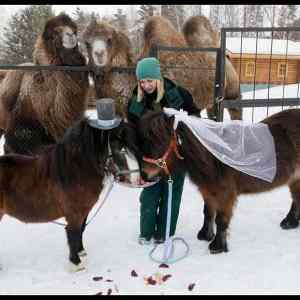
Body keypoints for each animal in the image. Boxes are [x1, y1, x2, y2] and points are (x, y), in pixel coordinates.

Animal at [0, 118, 138, 272]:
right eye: (119, 149)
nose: (136, 177)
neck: (75, 171)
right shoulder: (74, 213)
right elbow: (73, 233)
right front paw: (76, 263)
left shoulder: (84, 211)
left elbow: (80, 230)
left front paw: (81, 251)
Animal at [133, 109, 300, 254]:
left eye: (160, 142)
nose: (145, 175)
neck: (213, 157)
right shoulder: (207, 191)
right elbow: (208, 212)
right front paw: (205, 235)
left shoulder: (225, 194)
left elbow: (221, 219)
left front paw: (217, 246)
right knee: (296, 198)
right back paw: (290, 223)